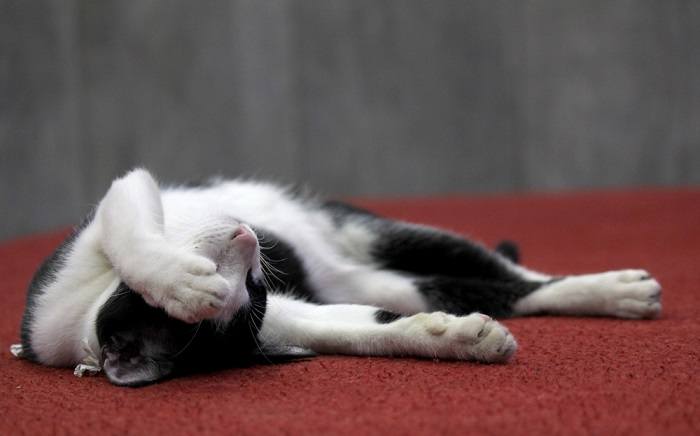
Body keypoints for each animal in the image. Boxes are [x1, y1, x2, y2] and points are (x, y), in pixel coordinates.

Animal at [15, 169, 660, 386]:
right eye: (249, 290)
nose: (252, 243)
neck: (75, 329)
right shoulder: (280, 317)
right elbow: (355, 329)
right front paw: (455, 338)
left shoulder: (102, 225)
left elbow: (129, 224)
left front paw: (178, 281)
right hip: (382, 280)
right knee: (486, 291)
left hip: (381, 230)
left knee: (511, 269)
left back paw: (616, 287)